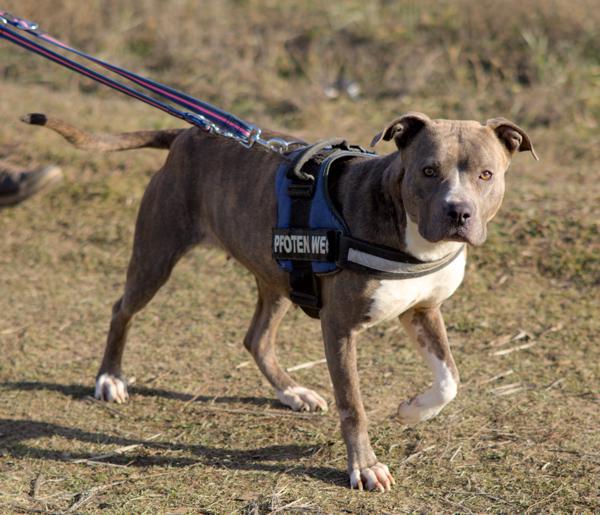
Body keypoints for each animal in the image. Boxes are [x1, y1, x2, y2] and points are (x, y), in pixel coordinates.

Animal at [23, 111, 536, 491]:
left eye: (486, 174)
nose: (458, 212)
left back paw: (292, 391)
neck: (408, 232)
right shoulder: (340, 327)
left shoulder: (423, 310)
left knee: (256, 338)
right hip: (156, 254)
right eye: (429, 171)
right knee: (122, 310)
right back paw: (110, 378)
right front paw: (364, 466)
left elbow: (450, 379)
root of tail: (189, 134)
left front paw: (411, 410)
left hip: (276, 277)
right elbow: (353, 405)